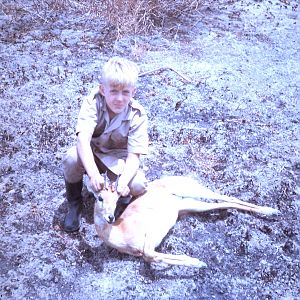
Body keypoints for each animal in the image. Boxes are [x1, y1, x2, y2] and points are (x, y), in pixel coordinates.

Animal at [84, 175, 278, 268]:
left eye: (117, 199)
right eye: (100, 198)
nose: (110, 217)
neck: (121, 231)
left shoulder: (149, 237)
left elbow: (150, 254)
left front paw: (198, 263)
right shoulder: (145, 250)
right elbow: (151, 257)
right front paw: (198, 263)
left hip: (194, 191)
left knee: (225, 196)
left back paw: (272, 211)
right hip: (188, 205)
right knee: (224, 203)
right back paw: (270, 212)